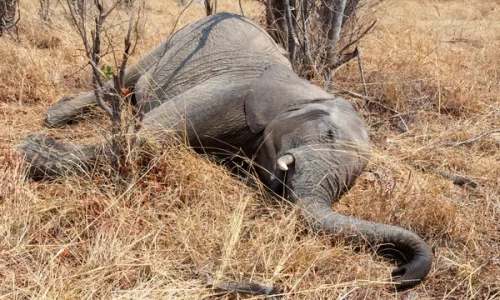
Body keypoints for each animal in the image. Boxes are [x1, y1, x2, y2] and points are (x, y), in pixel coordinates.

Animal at [19, 12, 432, 288]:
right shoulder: (234, 92)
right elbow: (150, 135)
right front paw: (32, 151)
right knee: (125, 78)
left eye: (351, 183)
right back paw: (55, 117)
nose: (396, 272)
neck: (305, 91)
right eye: (328, 134)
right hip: (176, 40)